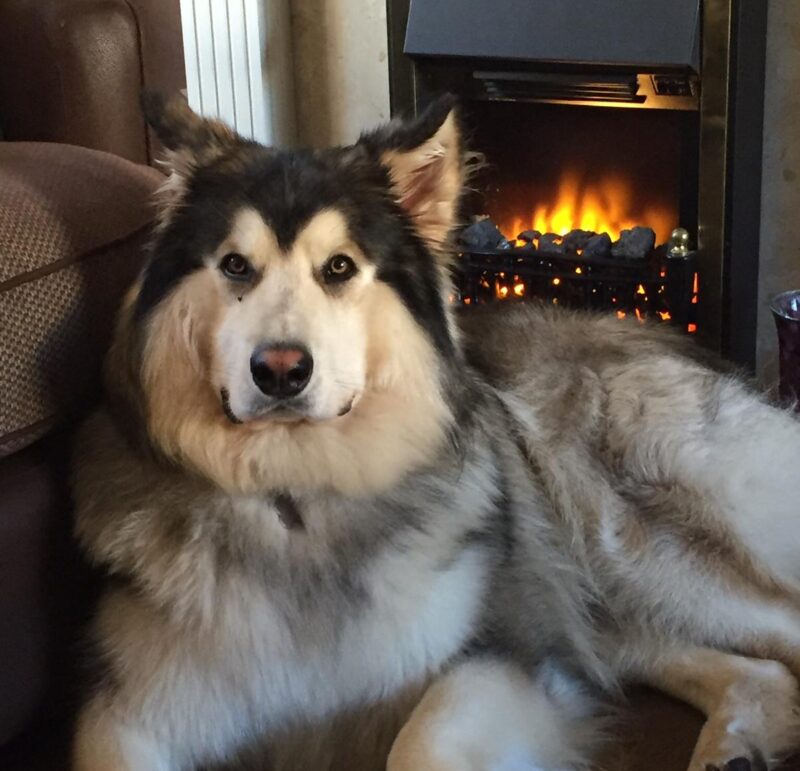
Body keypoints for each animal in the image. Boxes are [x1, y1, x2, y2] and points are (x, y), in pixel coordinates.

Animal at [72, 95, 800, 771]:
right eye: (234, 266)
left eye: (339, 268)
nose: (280, 370)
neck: (298, 494)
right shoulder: (126, 708)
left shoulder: (511, 645)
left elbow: (418, 741)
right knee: (762, 672)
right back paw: (736, 746)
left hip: (629, 539)